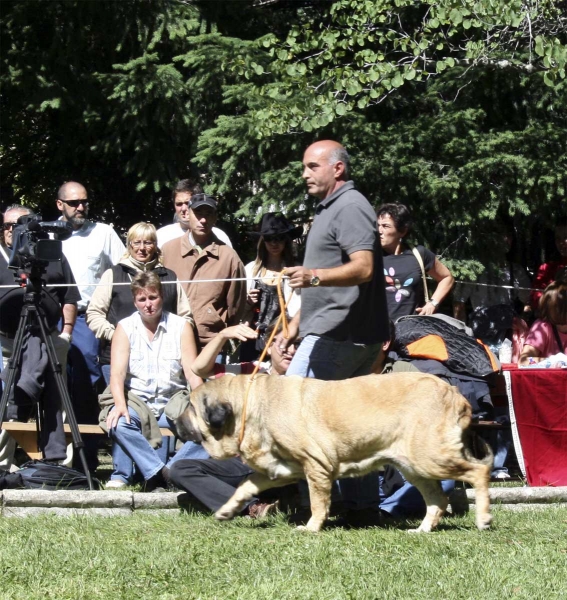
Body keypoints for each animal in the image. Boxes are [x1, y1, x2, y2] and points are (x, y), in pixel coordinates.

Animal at [178, 372, 492, 532]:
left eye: (190, 407)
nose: (175, 420)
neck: (251, 406)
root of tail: (453, 391)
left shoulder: (316, 466)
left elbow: (318, 503)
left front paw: (311, 528)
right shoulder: (278, 470)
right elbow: (245, 485)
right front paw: (227, 510)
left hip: (428, 457)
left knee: (479, 471)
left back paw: (483, 519)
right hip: (413, 466)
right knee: (437, 498)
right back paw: (422, 529)